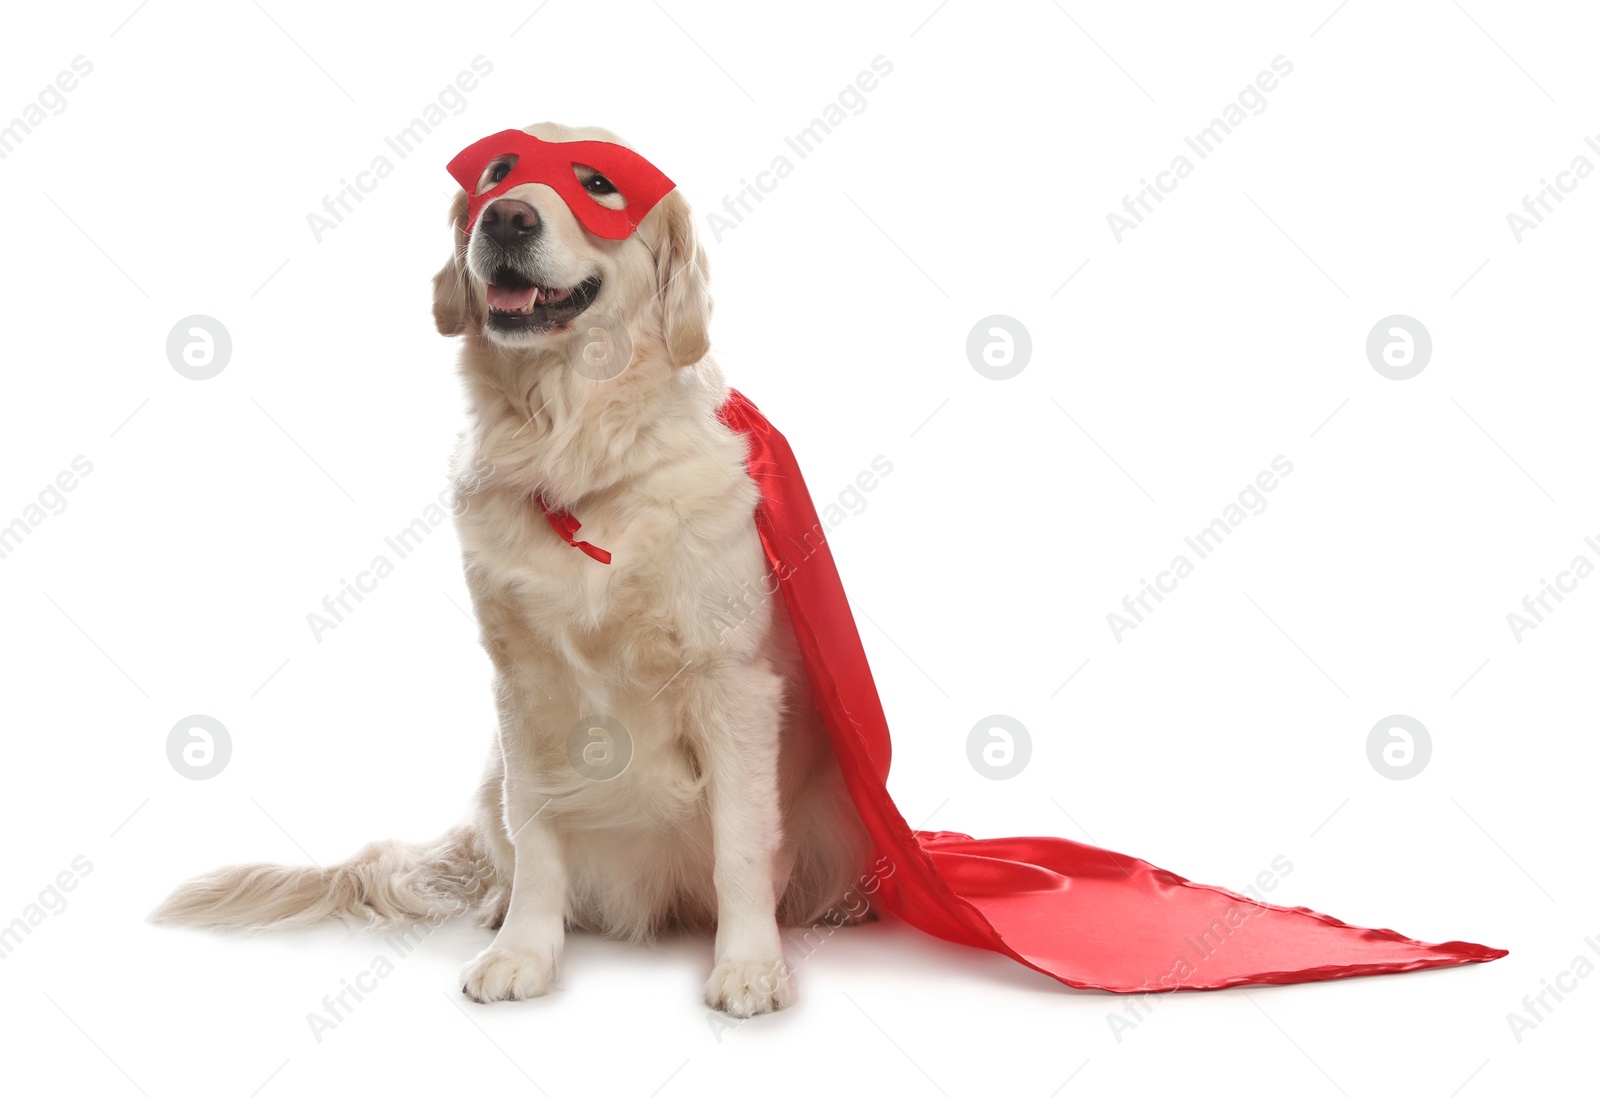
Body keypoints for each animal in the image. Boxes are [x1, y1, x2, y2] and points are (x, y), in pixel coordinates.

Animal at [152, 122, 876, 1023]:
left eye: (598, 183)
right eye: (498, 171)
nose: (506, 219)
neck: (575, 448)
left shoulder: (732, 681)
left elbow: (742, 842)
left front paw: (748, 966)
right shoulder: (522, 683)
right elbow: (538, 834)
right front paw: (523, 952)